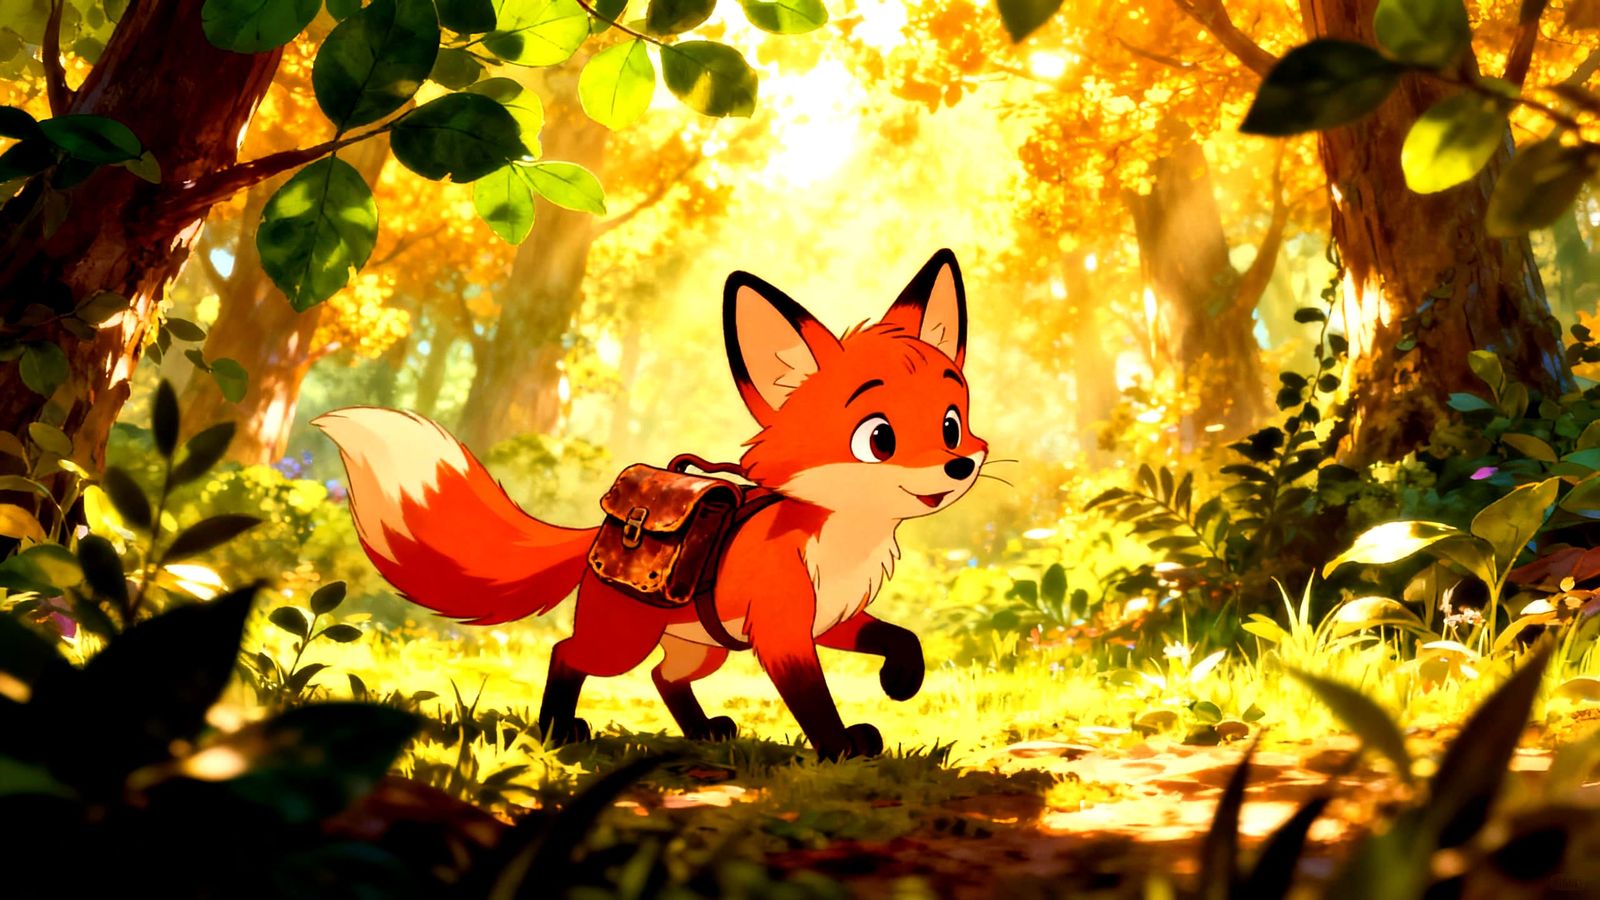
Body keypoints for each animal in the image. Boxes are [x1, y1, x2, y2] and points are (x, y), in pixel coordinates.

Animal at [313, 249, 986, 760]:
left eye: (951, 423)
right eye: (878, 438)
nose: (960, 465)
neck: (844, 539)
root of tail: (604, 526)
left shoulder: (834, 616)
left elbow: (901, 637)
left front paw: (902, 680)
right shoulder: (784, 631)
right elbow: (812, 700)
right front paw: (843, 746)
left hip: (702, 646)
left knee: (664, 677)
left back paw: (705, 733)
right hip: (623, 642)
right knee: (568, 655)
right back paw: (559, 733)